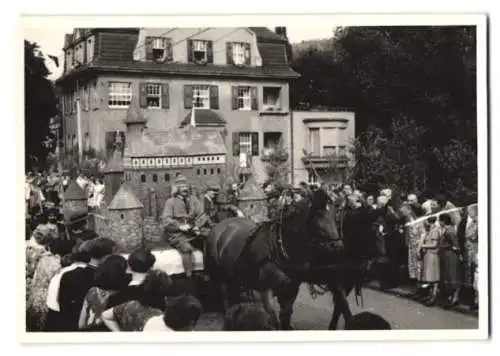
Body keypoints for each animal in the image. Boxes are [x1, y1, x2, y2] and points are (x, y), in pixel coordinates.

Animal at [204, 188, 376, 330]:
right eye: (318, 218)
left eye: (334, 217)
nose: (338, 248)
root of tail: (222, 225)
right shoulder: (266, 289)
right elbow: (274, 319)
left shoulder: (292, 288)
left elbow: (286, 315)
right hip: (221, 276)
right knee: (226, 295)